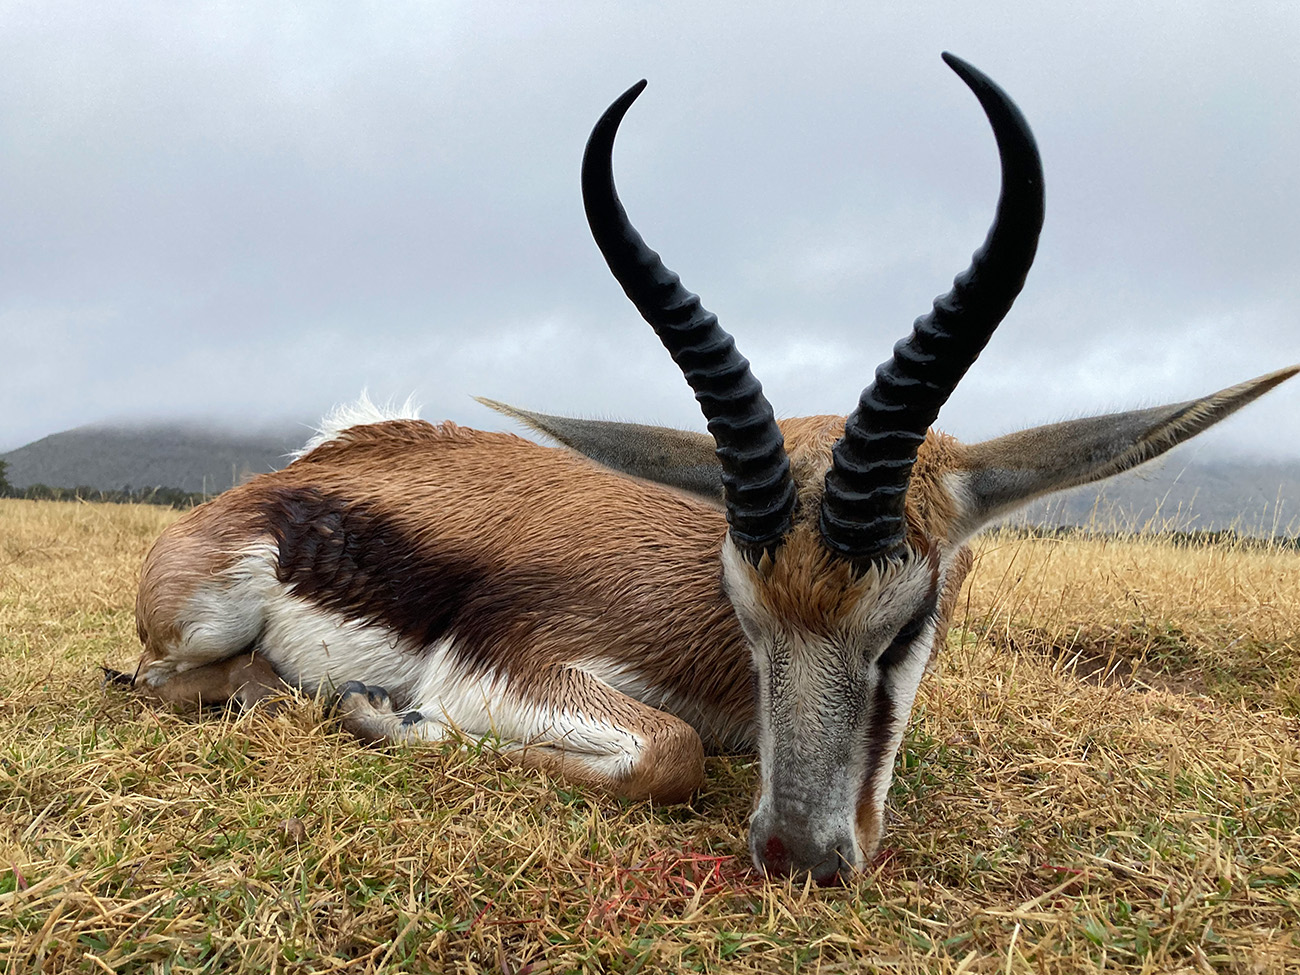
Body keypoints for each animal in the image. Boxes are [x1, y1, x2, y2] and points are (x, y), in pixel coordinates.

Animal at [119, 57, 1289, 889]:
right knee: (167, 677)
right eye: (740, 605)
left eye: (908, 621)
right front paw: (382, 716)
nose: (800, 856)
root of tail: (321, 455)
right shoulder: (505, 663)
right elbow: (668, 753)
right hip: (203, 620)